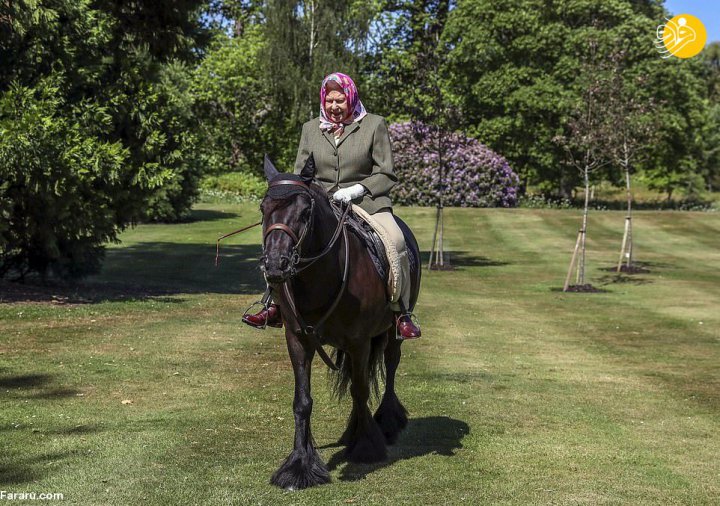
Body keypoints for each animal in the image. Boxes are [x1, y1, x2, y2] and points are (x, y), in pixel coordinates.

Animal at [262, 155, 422, 490]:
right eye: (263, 208)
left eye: (305, 212)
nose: (275, 265)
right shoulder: (297, 339)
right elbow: (302, 401)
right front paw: (300, 465)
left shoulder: (359, 341)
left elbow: (361, 391)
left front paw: (366, 447)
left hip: (392, 332)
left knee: (390, 367)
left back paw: (386, 422)